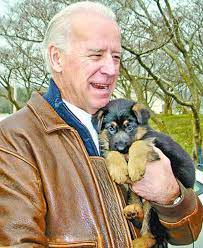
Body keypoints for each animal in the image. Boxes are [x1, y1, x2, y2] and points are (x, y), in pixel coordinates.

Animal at [92, 99, 195, 248]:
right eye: (111, 128)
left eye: (129, 127)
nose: (122, 147)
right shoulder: (111, 148)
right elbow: (111, 152)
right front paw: (118, 170)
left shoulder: (154, 145)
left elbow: (139, 143)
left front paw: (134, 168)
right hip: (134, 194)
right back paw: (132, 210)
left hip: (153, 206)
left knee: (150, 232)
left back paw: (140, 241)